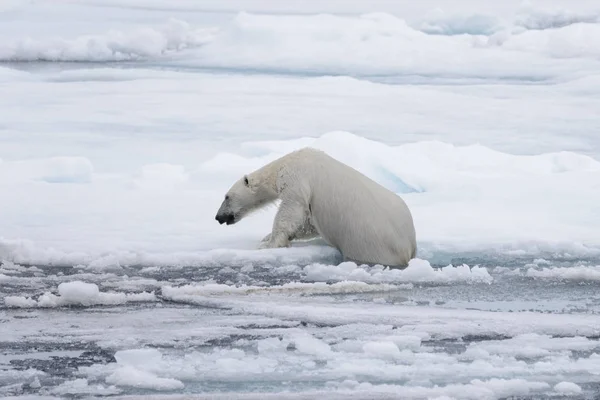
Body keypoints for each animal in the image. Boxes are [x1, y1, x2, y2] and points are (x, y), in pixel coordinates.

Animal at [216, 148, 418, 268]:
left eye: (226, 197)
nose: (219, 217)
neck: (287, 162)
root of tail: (408, 249)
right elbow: (308, 223)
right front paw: (269, 237)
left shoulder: (296, 180)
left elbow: (292, 211)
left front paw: (269, 243)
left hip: (369, 245)